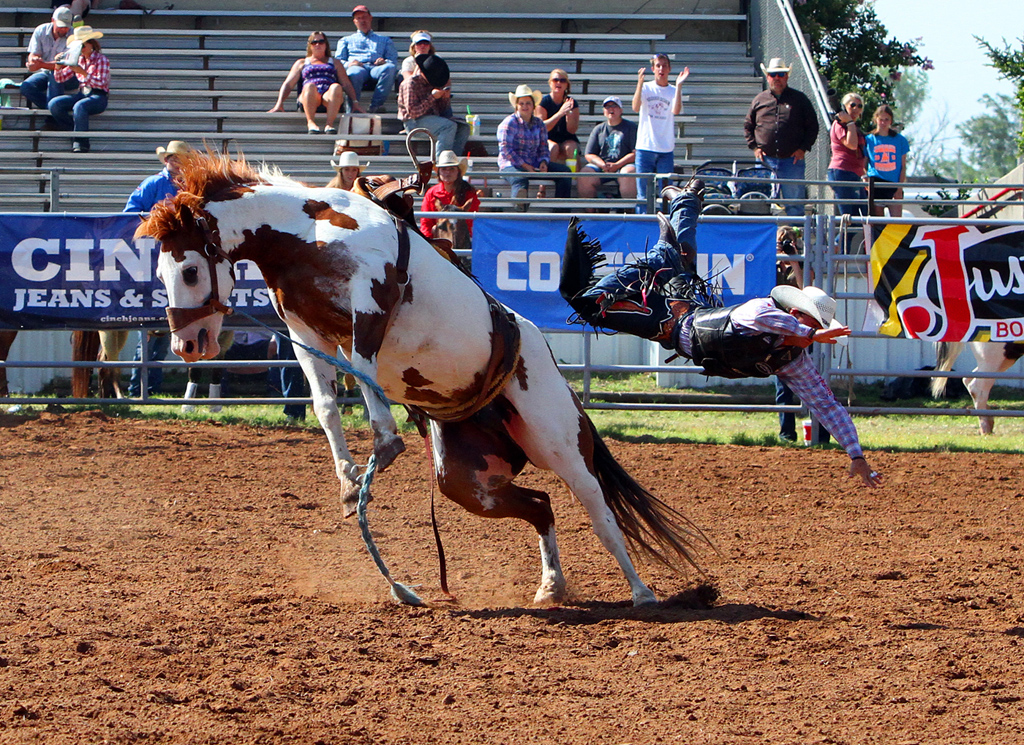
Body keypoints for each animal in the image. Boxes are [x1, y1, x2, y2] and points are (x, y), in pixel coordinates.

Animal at [136, 151, 708, 605]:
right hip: (467, 478)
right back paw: (551, 586)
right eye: (160, 272)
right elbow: (325, 404)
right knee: (540, 505)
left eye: (189, 270)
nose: (188, 345)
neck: (309, 232)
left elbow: (365, 377)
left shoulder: (370, 302)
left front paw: (384, 448)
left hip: (557, 441)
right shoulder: (305, 332)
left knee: (599, 512)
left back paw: (642, 593)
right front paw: (349, 483)